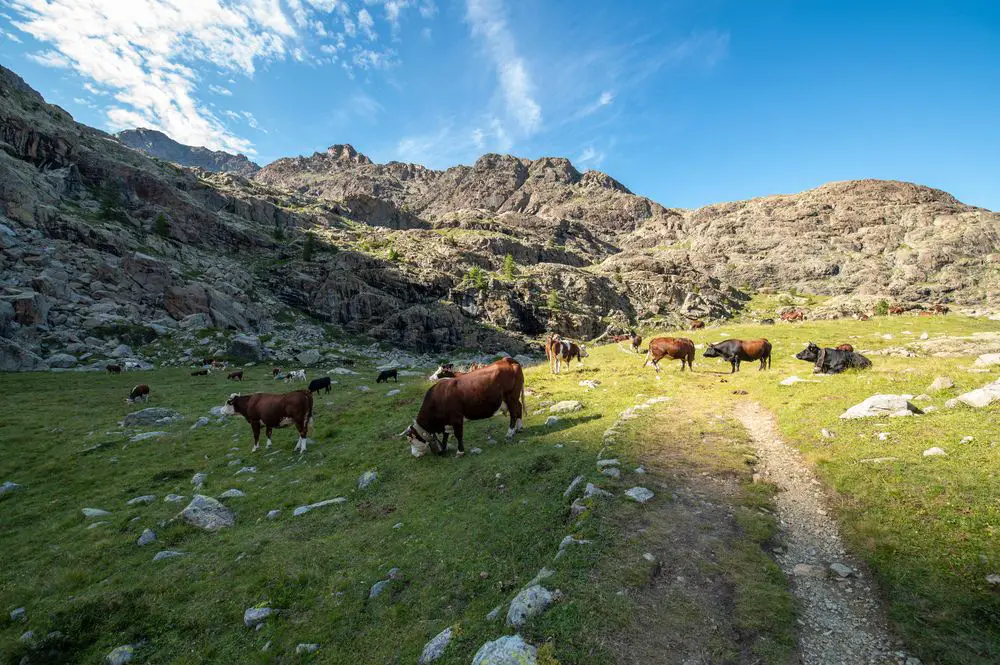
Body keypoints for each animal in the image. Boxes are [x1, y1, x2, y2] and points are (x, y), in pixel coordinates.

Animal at [400, 358, 528, 456]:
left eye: (411, 440)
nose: (414, 455)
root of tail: (507, 360)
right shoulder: (446, 422)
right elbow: (446, 436)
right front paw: (445, 448)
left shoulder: (456, 418)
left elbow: (458, 434)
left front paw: (460, 451)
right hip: (512, 398)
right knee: (519, 408)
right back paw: (519, 428)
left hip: (511, 396)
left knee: (513, 414)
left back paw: (510, 433)